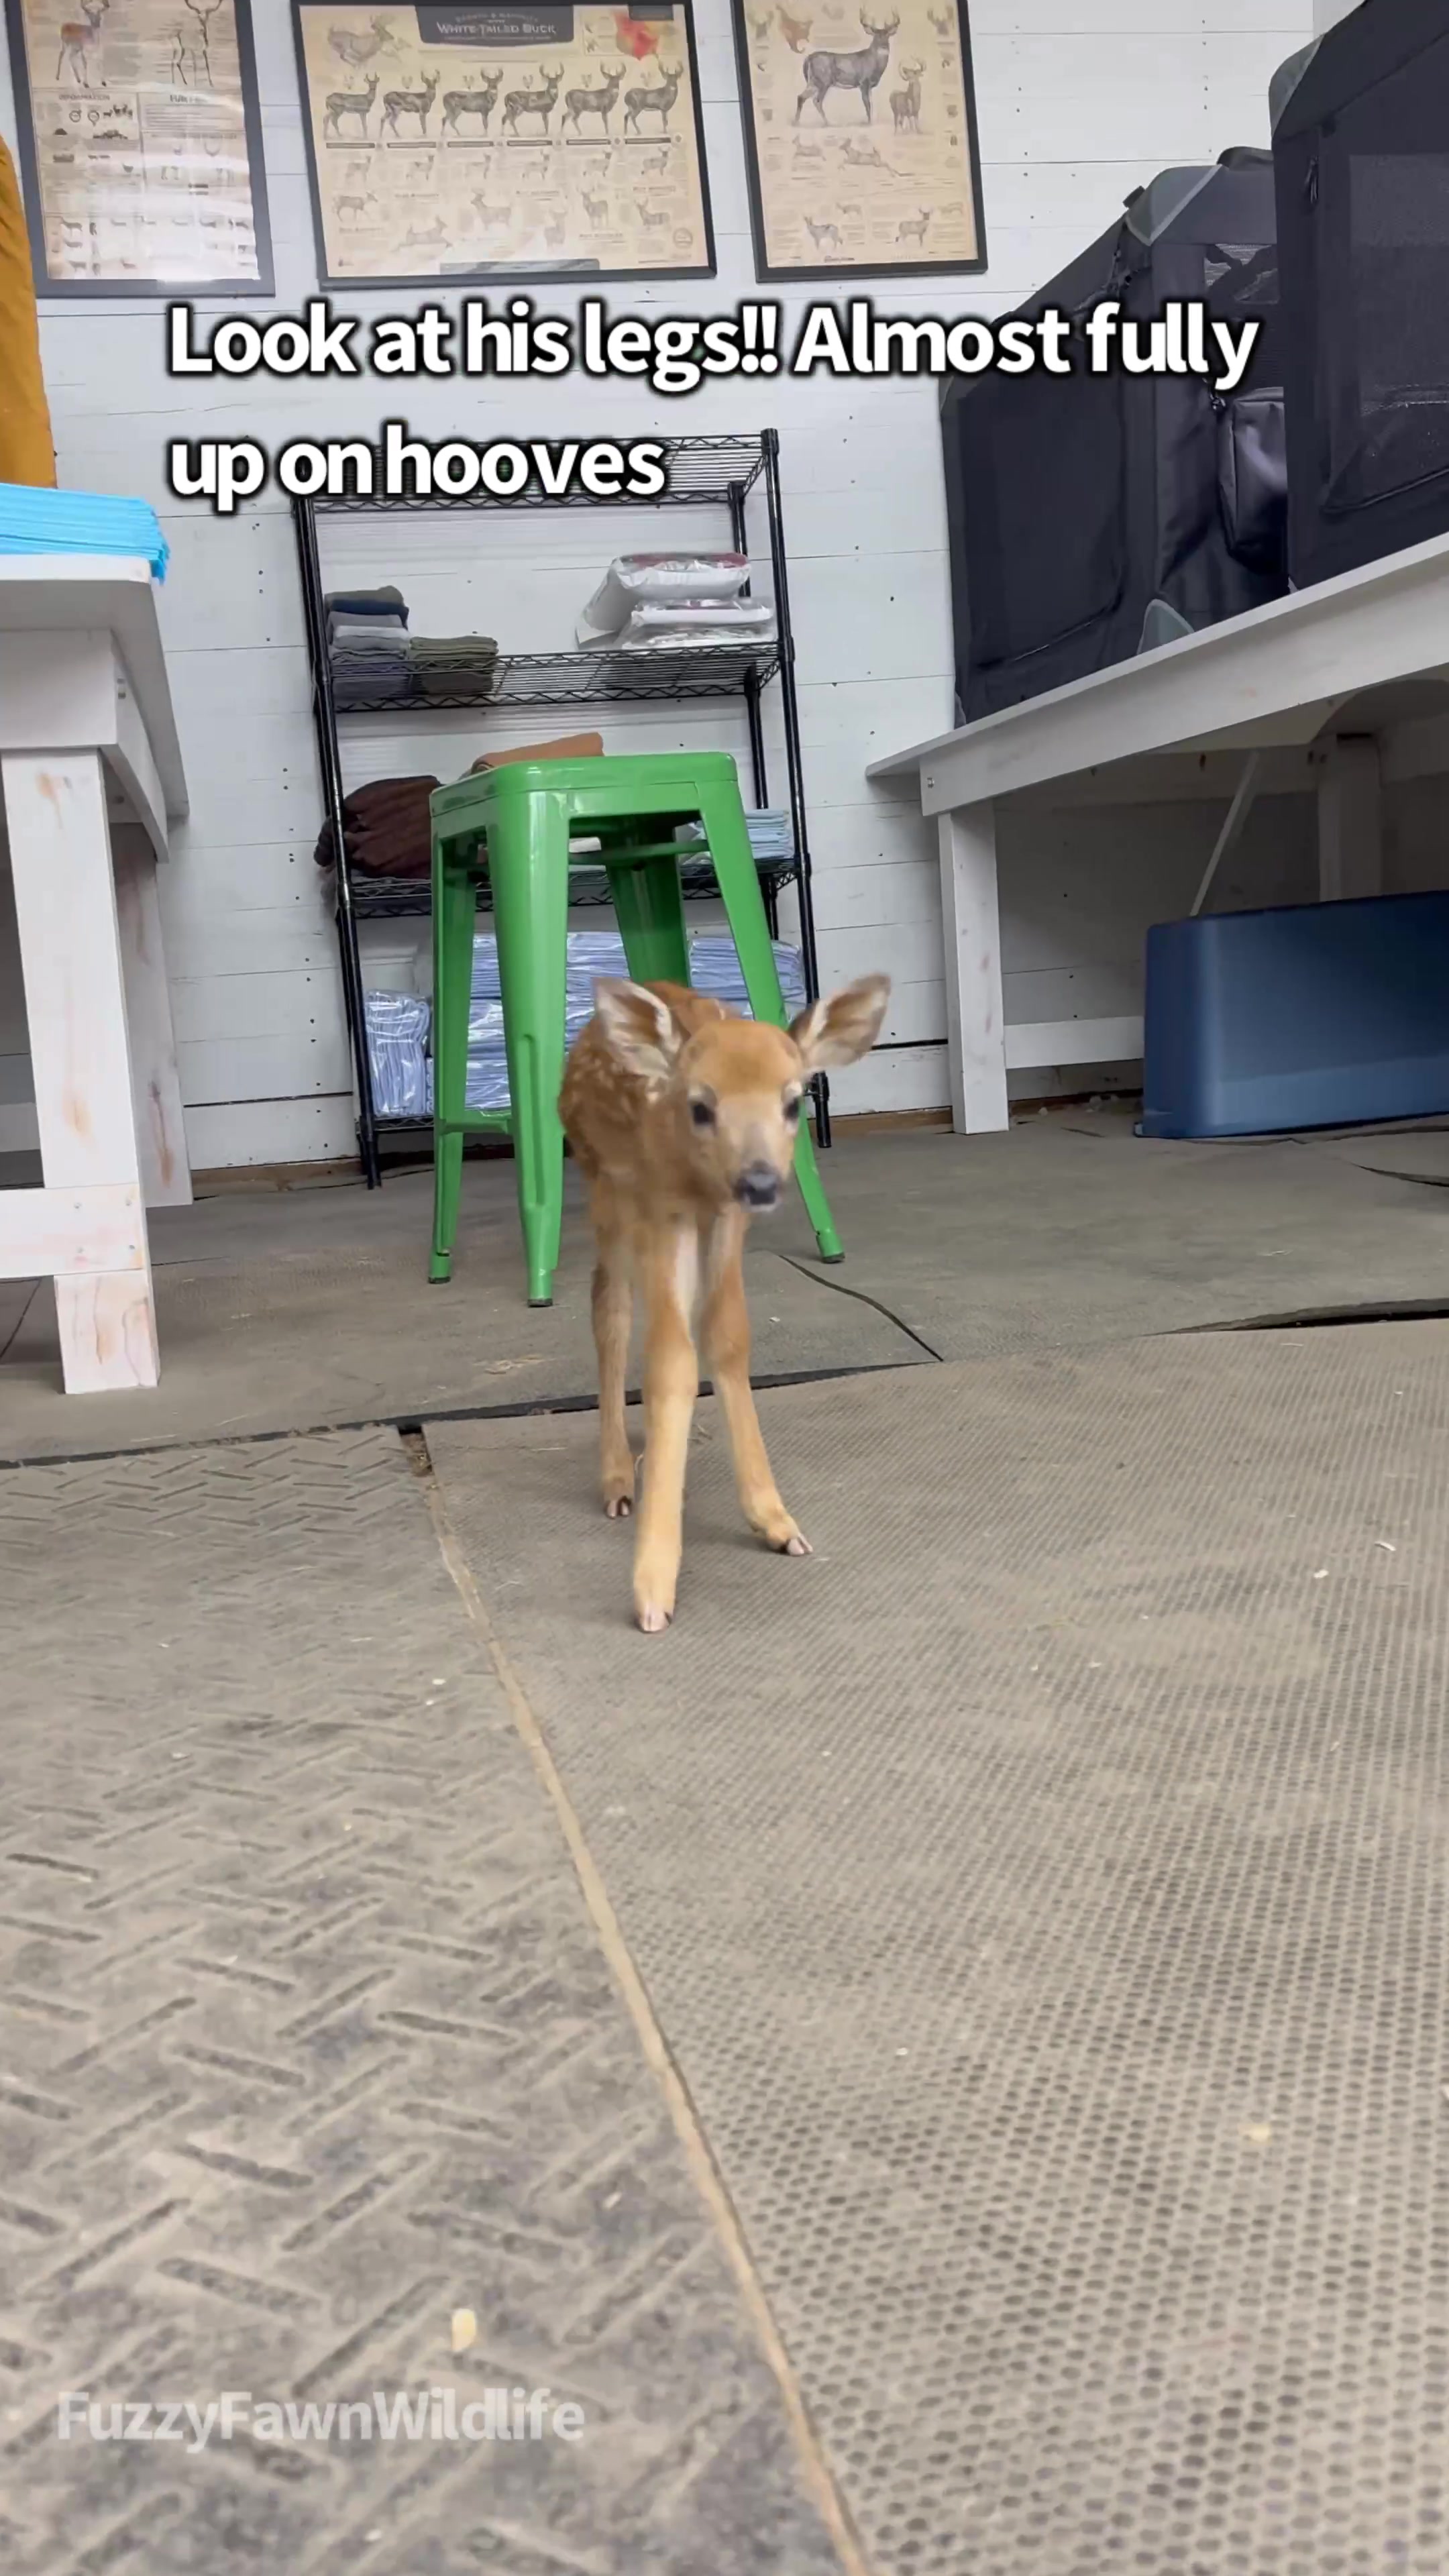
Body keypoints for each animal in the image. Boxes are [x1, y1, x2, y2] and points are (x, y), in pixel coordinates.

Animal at [56, 0, 108, 87]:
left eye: (100, 18)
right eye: (91, 18)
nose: (97, 25)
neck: (93, 42)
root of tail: (63, 25)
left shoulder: (99, 51)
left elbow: (100, 63)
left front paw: (104, 82)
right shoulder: (83, 51)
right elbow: (85, 65)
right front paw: (86, 84)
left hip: (76, 48)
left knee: (70, 56)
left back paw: (78, 79)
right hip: (65, 42)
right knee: (61, 55)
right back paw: (57, 77)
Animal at [559, 974, 890, 1632]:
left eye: (793, 1102)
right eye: (701, 1106)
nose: (760, 1181)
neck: (699, 1180)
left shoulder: (727, 1218)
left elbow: (727, 1338)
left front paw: (776, 1521)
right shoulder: (666, 1207)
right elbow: (670, 1362)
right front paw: (653, 1586)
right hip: (605, 1188)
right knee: (610, 1307)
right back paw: (618, 1478)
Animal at [796, 8, 898, 122]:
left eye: (888, 36)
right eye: (875, 37)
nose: (884, 47)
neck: (874, 65)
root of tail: (808, 59)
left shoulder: (870, 86)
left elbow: (871, 106)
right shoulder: (863, 82)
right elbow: (868, 106)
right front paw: (869, 123)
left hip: (813, 82)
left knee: (801, 97)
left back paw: (796, 122)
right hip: (823, 81)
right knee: (817, 101)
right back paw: (827, 123)